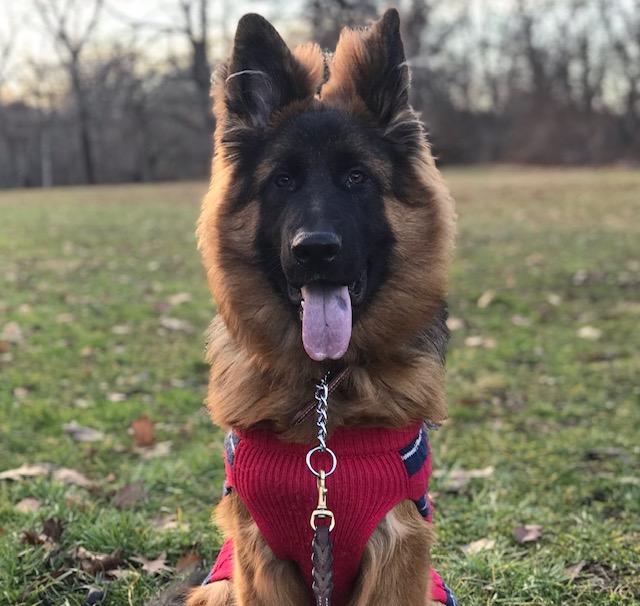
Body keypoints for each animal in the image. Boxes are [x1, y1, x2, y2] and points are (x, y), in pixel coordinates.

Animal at [185, 8, 456, 606]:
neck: (325, 394)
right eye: (282, 181)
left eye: (356, 178)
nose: (314, 250)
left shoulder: (397, 548)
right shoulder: (261, 556)